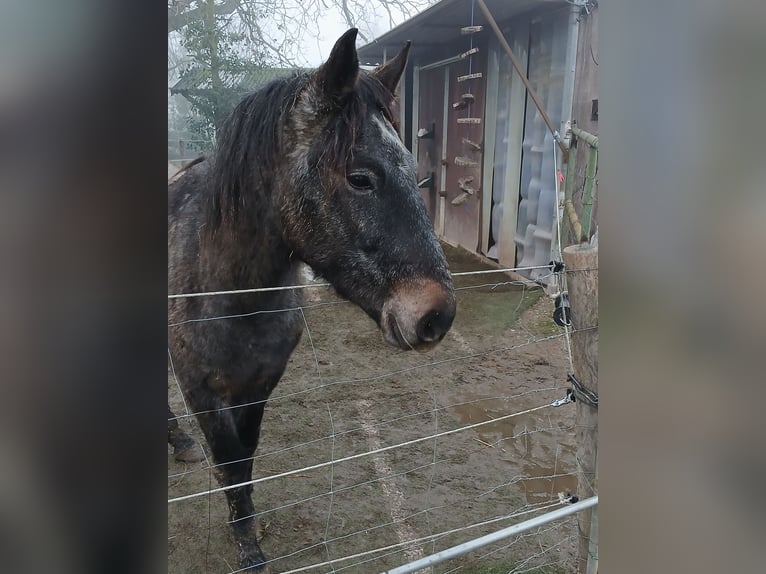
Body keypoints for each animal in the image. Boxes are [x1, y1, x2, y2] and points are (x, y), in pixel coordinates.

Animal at [168, 29, 456, 572]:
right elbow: (230, 464)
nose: (436, 315)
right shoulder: (201, 391)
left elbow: (246, 459)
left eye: (413, 168)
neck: (233, 295)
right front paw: (247, 548)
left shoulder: (261, 384)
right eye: (361, 176)